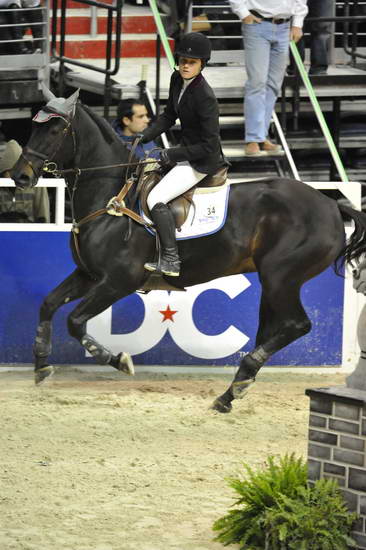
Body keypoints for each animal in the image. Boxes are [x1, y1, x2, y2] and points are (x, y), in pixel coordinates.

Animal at [10, 86, 366, 414]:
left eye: (54, 130)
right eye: (33, 127)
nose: (19, 176)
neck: (112, 197)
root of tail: (331, 205)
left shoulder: (118, 282)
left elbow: (75, 321)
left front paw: (118, 359)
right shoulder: (88, 275)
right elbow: (48, 304)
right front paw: (41, 366)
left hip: (282, 277)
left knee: (296, 325)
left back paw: (237, 383)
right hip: (273, 282)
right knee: (271, 329)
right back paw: (233, 390)